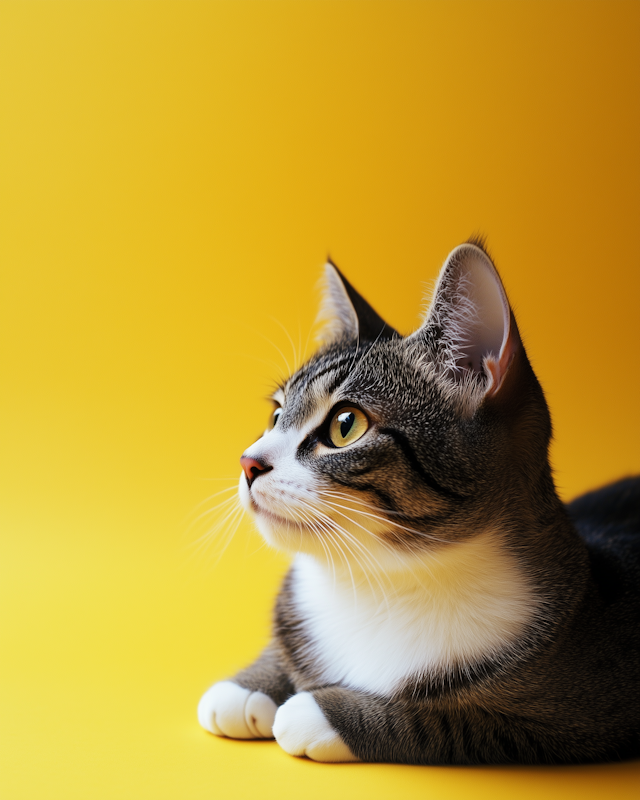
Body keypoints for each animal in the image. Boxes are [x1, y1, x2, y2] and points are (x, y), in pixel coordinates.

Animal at [198, 241, 636, 764]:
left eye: (345, 425)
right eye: (276, 415)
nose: (248, 462)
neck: (381, 582)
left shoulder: (574, 716)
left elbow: (455, 722)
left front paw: (321, 711)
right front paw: (250, 684)